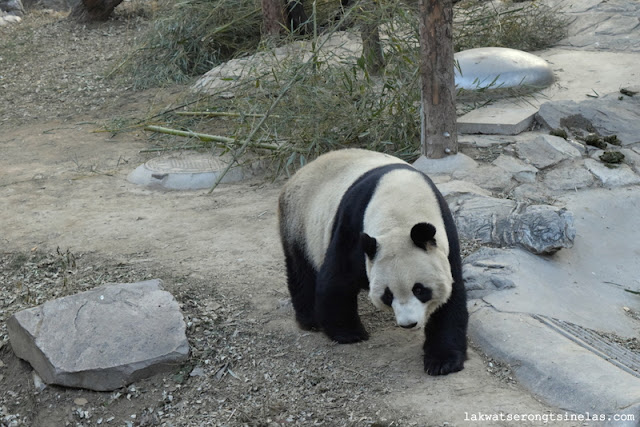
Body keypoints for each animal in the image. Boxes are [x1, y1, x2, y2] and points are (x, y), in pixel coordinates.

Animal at [278, 149, 468, 376]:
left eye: (420, 290)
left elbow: (451, 296)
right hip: (300, 223)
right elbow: (337, 278)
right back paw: (310, 319)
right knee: (301, 270)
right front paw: (349, 333)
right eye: (388, 295)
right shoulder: (353, 225)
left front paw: (442, 361)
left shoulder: (445, 236)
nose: (408, 324)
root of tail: (299, 172)